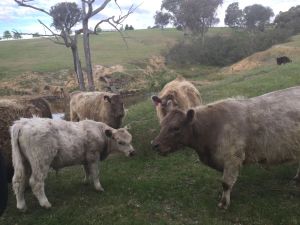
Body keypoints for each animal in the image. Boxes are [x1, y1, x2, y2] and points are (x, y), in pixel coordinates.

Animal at [152, 86, 300, 209]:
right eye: (162, 124)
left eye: (176, 128)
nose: (154, 145)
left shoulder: (232, 158)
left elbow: (226, 183)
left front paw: (224, 203)